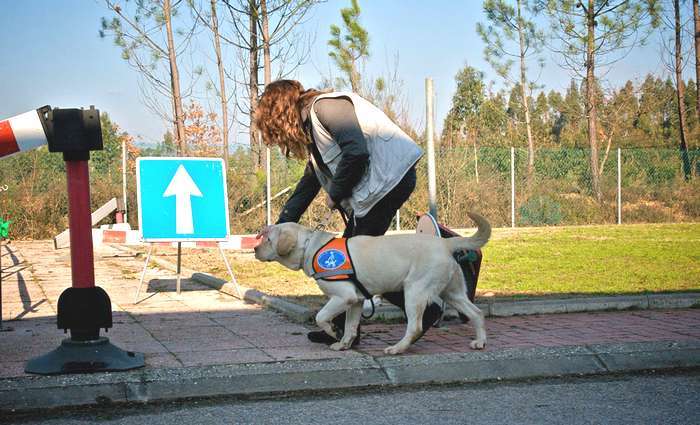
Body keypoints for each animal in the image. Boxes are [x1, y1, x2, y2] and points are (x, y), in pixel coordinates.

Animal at [254, 212, 490, 354]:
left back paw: (397, 348)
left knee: (415, 326)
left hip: (414, 292)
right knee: (477, 313)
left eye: (268, 240)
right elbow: (350, 327)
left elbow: (321, 317)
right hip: (453, 293)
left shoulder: (343, 297)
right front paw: (344, 343)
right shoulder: (356, 301)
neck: (311, 246)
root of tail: (445, 243)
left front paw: (332, 331)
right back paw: (480, 342)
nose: (254, 249)